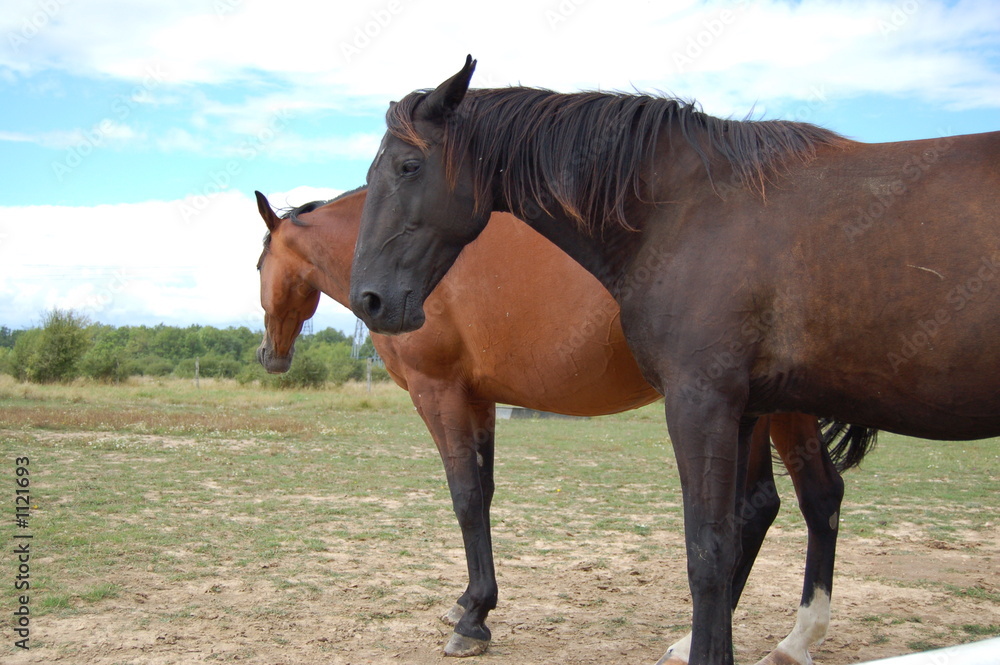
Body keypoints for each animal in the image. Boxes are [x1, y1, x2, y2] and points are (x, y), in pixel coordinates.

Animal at [256, 186, 875, 663]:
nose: (270, 356)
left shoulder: (440, 394)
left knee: (793, 500)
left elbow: (465, 497)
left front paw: (474, 619)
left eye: (258, 265)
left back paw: (770, 641)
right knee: (787, 500)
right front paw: (469, 601)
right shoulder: (480, 401)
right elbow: (484, 493)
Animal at [349, 57, 1000, 665]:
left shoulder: (699, 403)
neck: (687, 209)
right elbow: (732, 534)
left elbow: (706, 551)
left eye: (409, 167)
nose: (369, 299)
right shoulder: (742, 411)